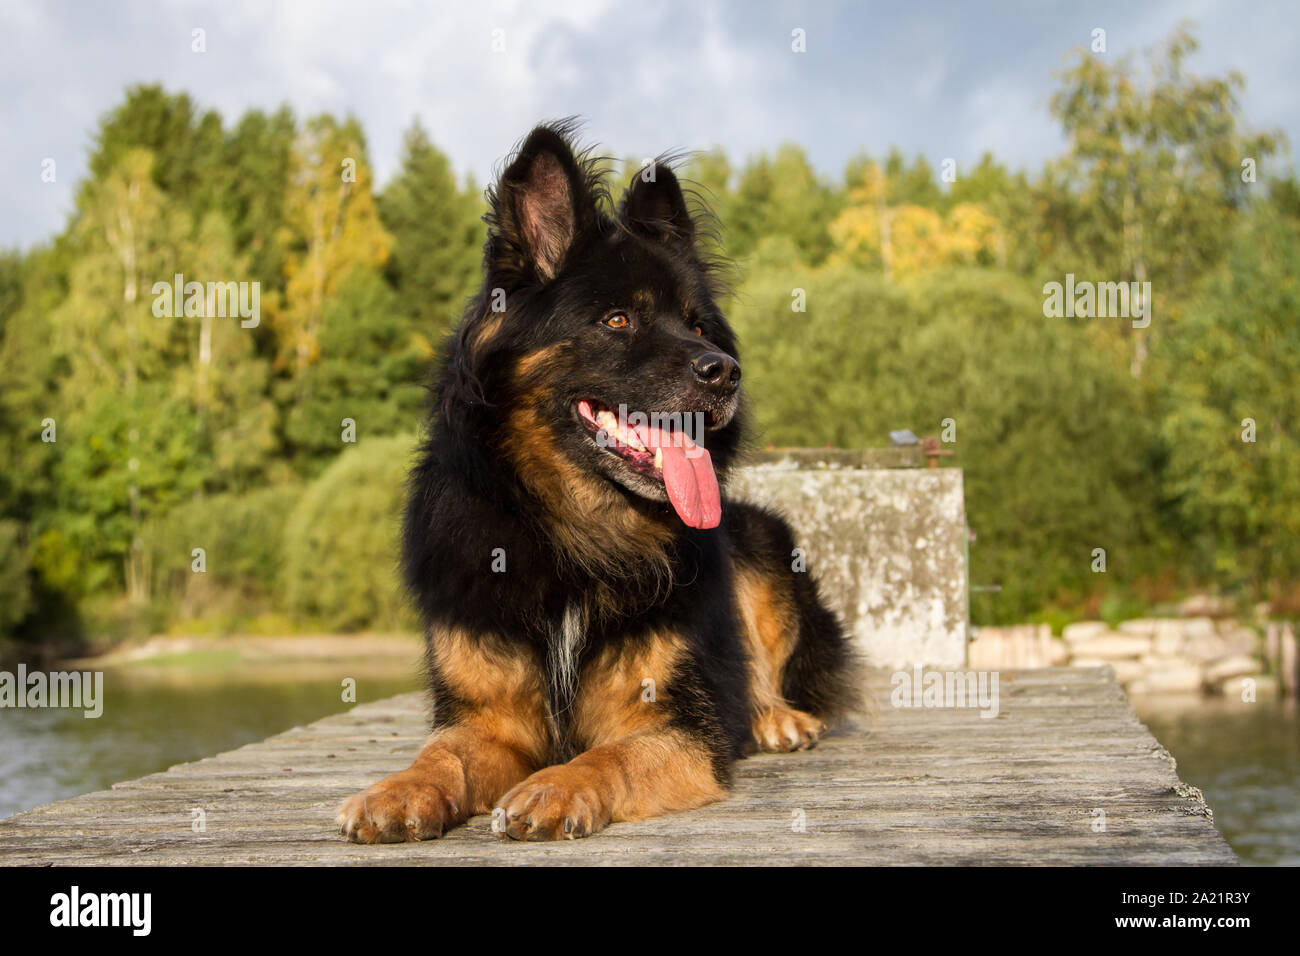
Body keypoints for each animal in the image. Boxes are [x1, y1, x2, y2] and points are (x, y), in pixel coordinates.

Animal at [335, 121, 852, 842]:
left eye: (698, 326)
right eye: (617, 321)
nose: (726, 372)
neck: (575, 532)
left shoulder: (674, 726)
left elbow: (610, 757)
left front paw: (557, 787)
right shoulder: (490, 722)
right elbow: (442, 754)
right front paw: (400, 788)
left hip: (761, 545)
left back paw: (775, 717)